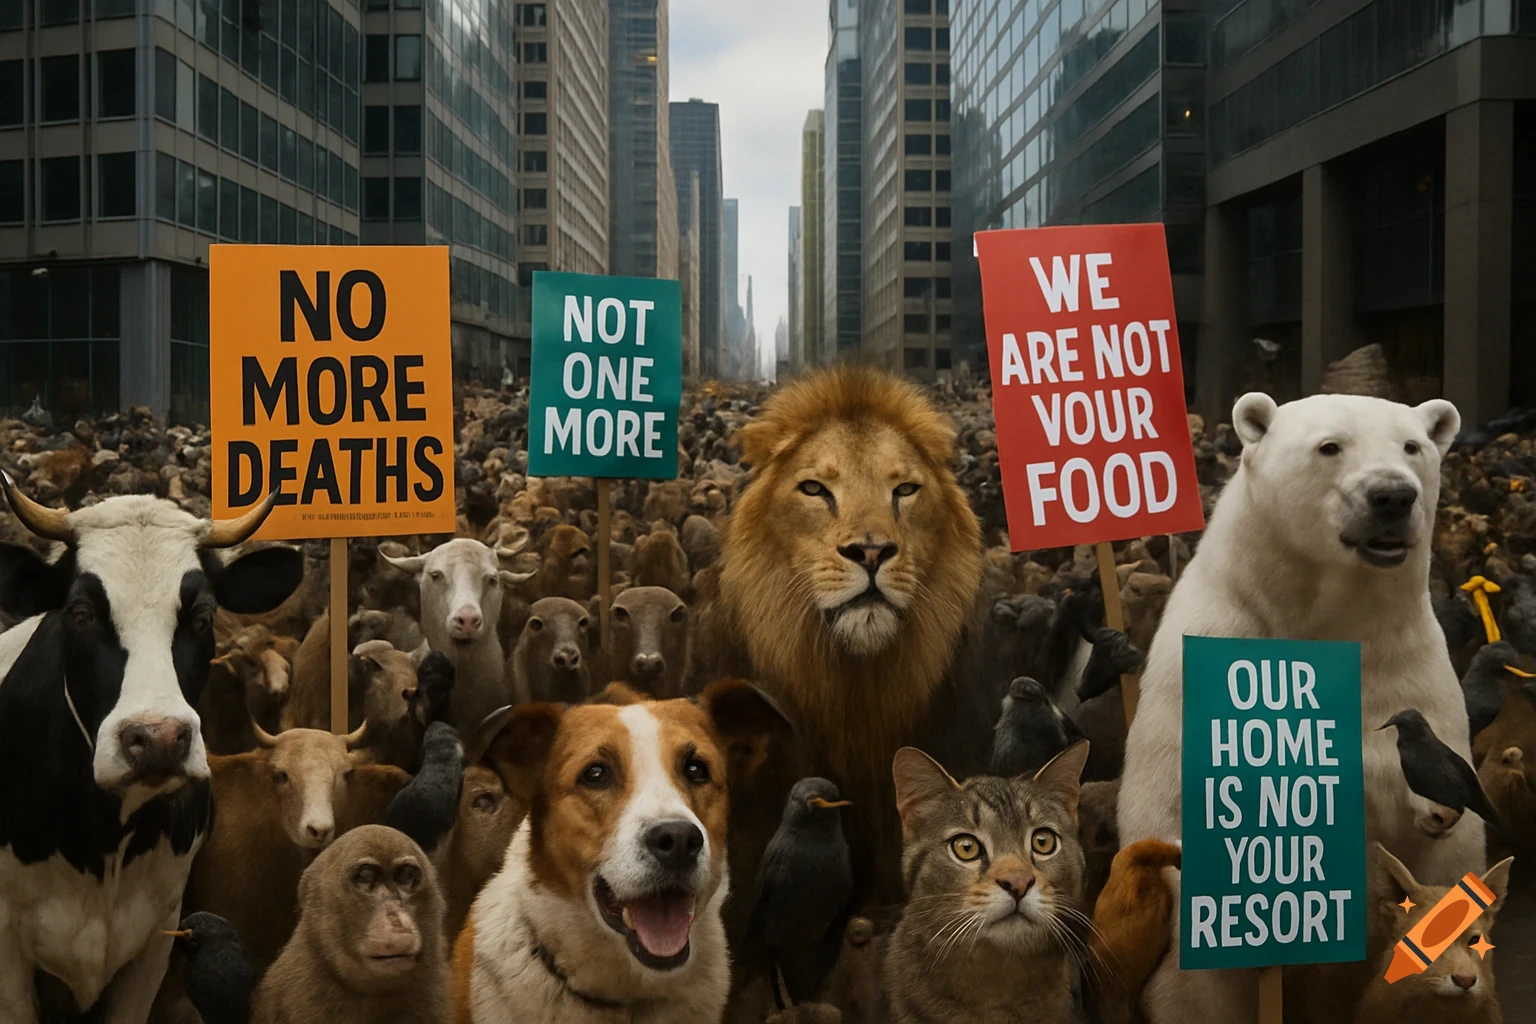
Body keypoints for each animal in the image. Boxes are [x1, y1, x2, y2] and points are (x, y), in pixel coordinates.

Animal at [0, 474, 302, 1024]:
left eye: (202, 616)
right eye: (80, 612)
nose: (157, 739)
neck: (104, 841)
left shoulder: (157, 938)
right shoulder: (8, 950)